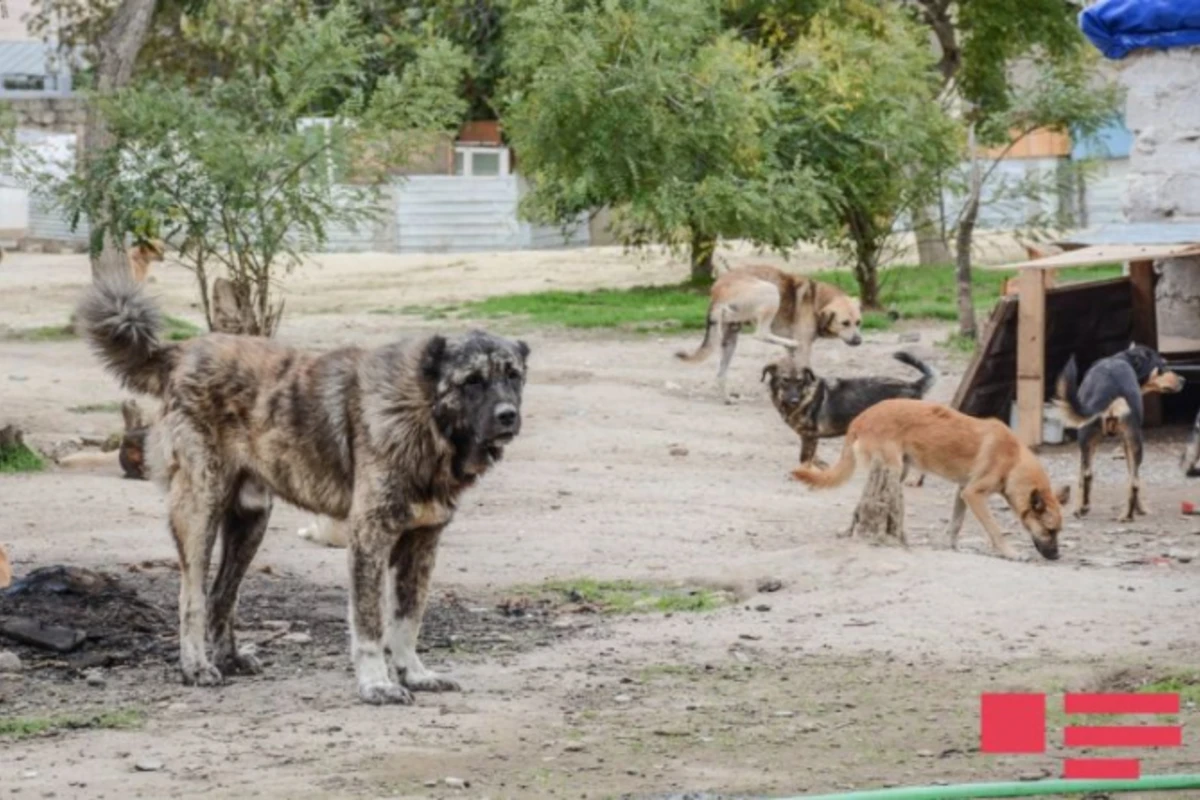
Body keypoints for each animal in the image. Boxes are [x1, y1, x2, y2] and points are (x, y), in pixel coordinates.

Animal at [79, 278, 530, 705]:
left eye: (513, 376)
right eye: (472, 381)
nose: (508, 416)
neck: (425, 414)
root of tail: (181, 351)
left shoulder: (422, 543)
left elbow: (407, 620)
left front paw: (414, 674)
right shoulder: (369, 539)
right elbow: (371, 625)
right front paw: (376, 685)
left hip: (251, 521)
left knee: (223, 595)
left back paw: (230, 658)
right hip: (199, 512)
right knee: (192, 596)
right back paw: (196, 667)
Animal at [676, 263, 864, 400]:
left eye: (858, 322)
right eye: (845, 323)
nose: (858, 341)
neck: (816, 301)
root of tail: (717, 291)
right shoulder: (804, 347)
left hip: (730, 340)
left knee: (721, 373)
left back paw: (726, 397)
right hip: (770, 291)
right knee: (759, 333)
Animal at [758, 352, 936, 470]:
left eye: (800, 381)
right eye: (785, 380)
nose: (794, 400)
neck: (805, 394)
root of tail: (914, 385)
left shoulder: (809, 435)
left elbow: (804, 458)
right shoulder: (810, 438)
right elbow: (813, 457)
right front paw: (821, 465)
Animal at [792, 400, 1065, 563]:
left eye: (1057, 532)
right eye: (1049, 531)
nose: (1056, 556)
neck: (1013, 461)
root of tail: (860, 418)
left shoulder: (963, 491)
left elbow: (955, 523)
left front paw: (951, 546)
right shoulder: (975, 494)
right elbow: (994, 529)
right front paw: (1010, 552)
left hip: (894, 472)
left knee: (860, 505)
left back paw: (851, 531)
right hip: (893, 469)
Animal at [1056, 343, 1185, 520]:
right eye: (1163, 365)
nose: (1183, 380)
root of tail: (1113, 387)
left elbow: (1080, 478)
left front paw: (1076, 508)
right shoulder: (1121, 441)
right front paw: (1141, 509)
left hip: (1087, 437)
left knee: (1088, 474)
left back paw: (1085, 507)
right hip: (1134, 441)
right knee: (1134, 481)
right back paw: (1127, 515)